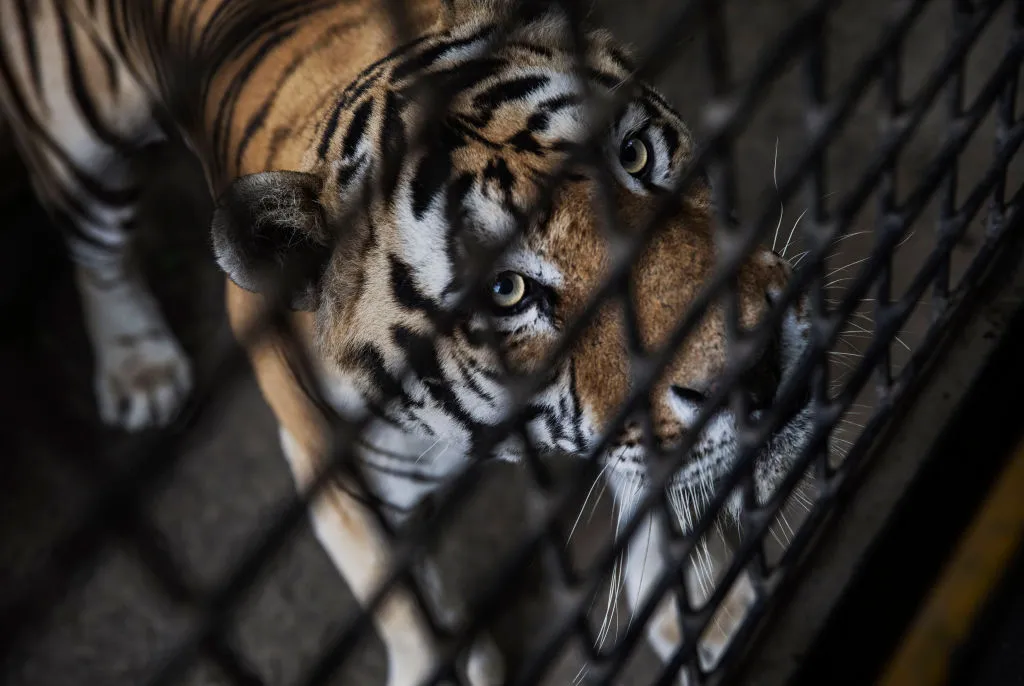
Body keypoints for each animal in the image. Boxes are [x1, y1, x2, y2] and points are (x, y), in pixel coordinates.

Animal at [0, 0, 817, 683]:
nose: (761, 358)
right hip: (76, 146)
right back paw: (138, 367)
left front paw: (707, 610)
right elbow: (403, 607)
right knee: (95, 253)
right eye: (506, 291)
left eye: (637, 155)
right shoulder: (338, 481)